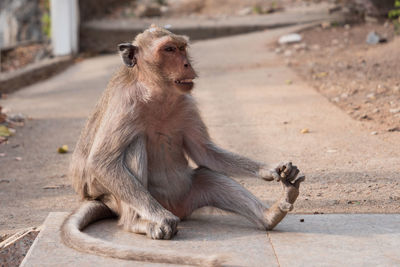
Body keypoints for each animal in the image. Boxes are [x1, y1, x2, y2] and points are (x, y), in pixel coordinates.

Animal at [61, 24, 304, 266]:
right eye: (168, 49)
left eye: (182, 48)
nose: (187, 64)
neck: (157, 94)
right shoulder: (125, 103)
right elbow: (101, 162)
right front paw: (161, 218)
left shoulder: (187, 104)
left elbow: (205, 153)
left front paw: (271, 169)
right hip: (117, 197)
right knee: (133, 144)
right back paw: (138, 223)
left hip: (187, 195)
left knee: (207, 176)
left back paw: (271, 215)